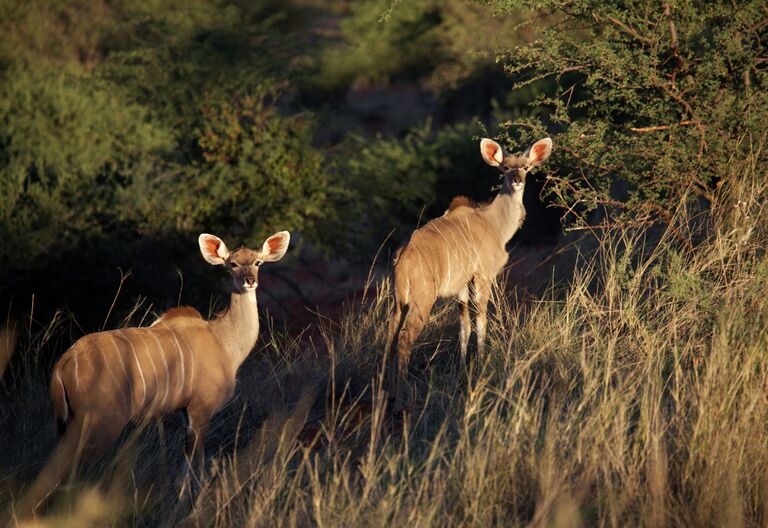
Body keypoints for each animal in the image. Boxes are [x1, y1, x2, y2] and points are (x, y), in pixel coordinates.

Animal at [13, 232, 290, 520]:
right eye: (232, 264)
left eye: (258, 262)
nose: (249, 281)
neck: (223, 340)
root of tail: (63, 364)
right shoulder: (200, 410)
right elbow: (195, 468)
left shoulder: (185, 412)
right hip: (101, 422)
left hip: (67, 423)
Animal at [388, 136, 556, 404]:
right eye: (505, 168)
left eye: (526, 167)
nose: (517, 180)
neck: (493, 223)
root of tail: (403, 258)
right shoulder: (482, 277)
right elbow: (481, 321)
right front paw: (482, 364)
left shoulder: (462, 287)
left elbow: (464, 326)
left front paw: (462, 369)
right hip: (421, 302)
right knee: (403, 341)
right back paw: (402, 398)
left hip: (398, 303)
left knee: (390, 339)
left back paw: (387, 390)